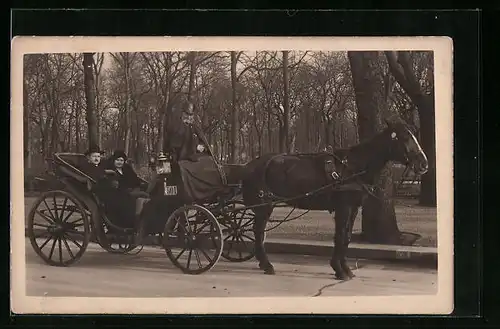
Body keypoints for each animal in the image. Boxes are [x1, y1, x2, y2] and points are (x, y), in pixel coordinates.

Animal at [240, 119, 428, 280]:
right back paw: (266, 264)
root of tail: (249, 165)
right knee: (258, 232)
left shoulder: (353, 207)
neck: (352, 166)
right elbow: (340, 236)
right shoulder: (343, 207)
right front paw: (339, 269)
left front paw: (345, 268)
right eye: (405, 137)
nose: (423, 163)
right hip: (264, 206)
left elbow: (347, 237)